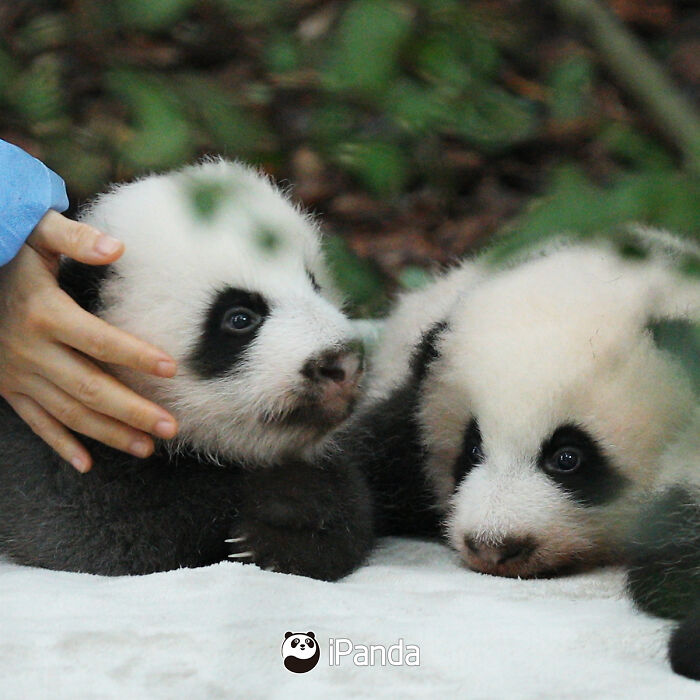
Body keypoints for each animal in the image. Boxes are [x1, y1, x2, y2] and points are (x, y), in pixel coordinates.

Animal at [0, 159, 373, 581]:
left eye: (313, 284)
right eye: (239, 318)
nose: (342, 362)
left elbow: (349, 508)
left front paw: (287, 526)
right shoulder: (53, 437)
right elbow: (106, 531)